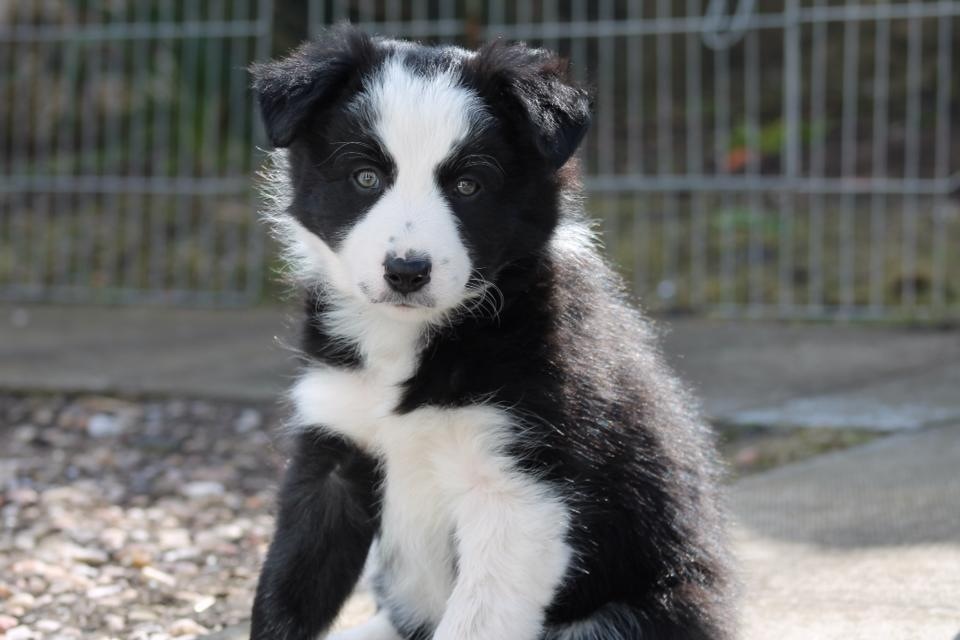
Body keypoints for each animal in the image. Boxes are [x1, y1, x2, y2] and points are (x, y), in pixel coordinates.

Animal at [251, 25, 732, 640]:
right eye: (365, 177)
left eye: (468, 185)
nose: (406, 271)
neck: (414, 343)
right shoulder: (332, 451)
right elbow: (284, 590)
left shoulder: (521, 491)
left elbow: (476, 619)